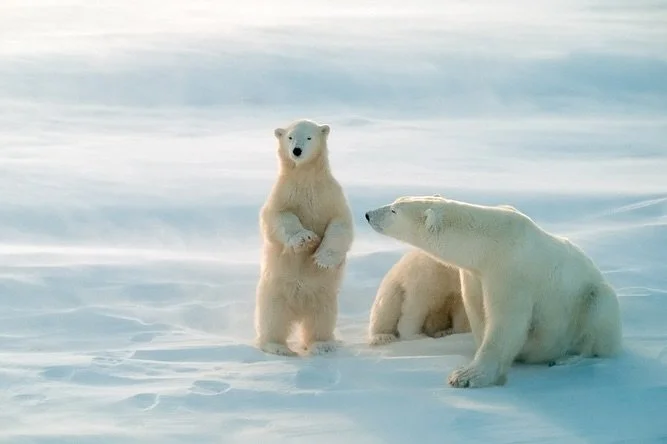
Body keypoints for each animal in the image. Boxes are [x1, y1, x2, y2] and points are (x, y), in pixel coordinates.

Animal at [254, 119, 354, 357]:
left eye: (309, 137)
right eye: (290, 137)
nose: (297, 151)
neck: (306, 178)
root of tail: (299, 309)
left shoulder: (329, 196)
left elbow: (340, 224)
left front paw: (322, 259)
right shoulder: (284, 193)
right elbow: (278, 217)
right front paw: (305, 238)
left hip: (324, 295)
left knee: (321, 319)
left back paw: (322, 344)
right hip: (274, 291)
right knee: (272, 318)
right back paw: (277, 346)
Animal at [364, 195, 622, 388]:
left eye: (394, 210)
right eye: (396, 200)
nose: (368, 214)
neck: (489, 243)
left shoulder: (510, 271)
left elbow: (506, 322)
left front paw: (467, 376)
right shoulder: (474, 274)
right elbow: (476, 310)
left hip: (592, 297)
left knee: (598, 318)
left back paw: (567, 358)